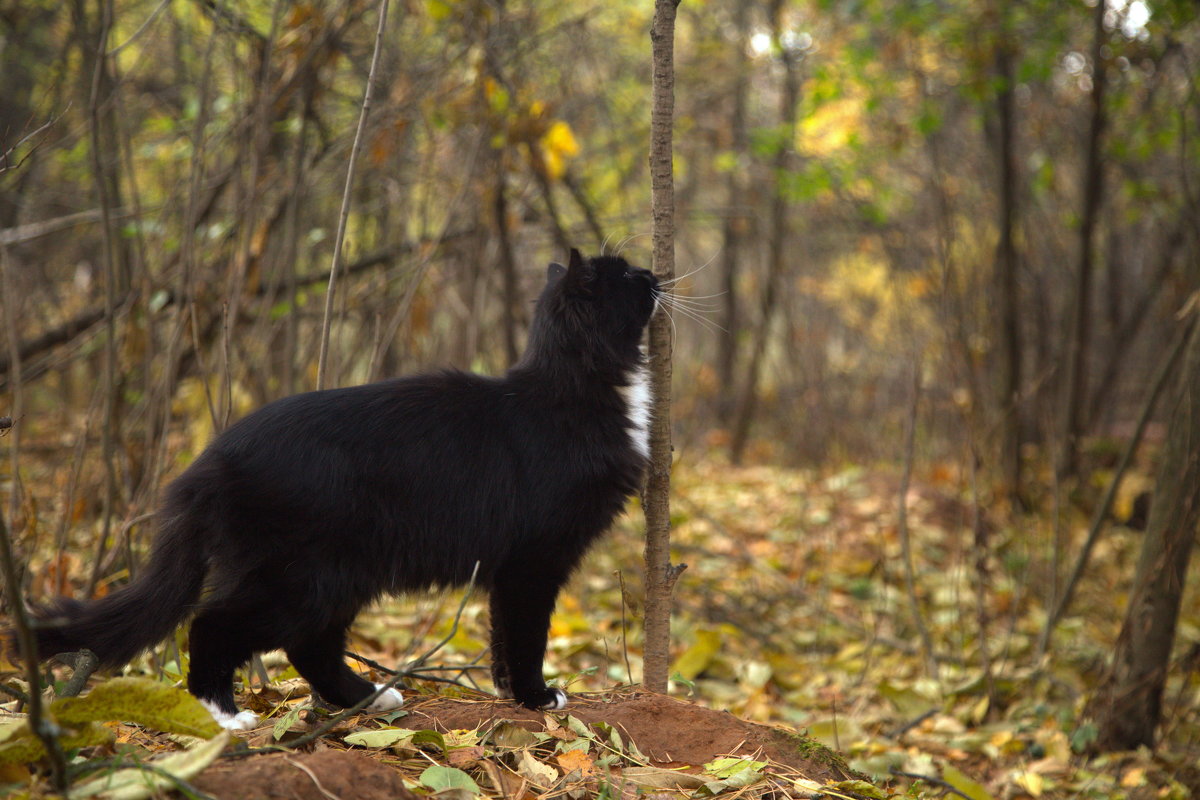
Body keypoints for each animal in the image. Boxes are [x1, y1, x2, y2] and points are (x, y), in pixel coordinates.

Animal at [25, 250, 657, 734]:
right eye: (624, 275)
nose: (653, 273)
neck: (574, 388)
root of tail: (202, 466)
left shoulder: (508, 565)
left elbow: (503, 631)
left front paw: (509, 692)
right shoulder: (535, 556)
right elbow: (526, 631)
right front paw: (537, 696)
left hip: (339, 573)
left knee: (310, 646)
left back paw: (370, 698)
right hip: (302, 574)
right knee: (213, 625)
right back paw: (223, 715)